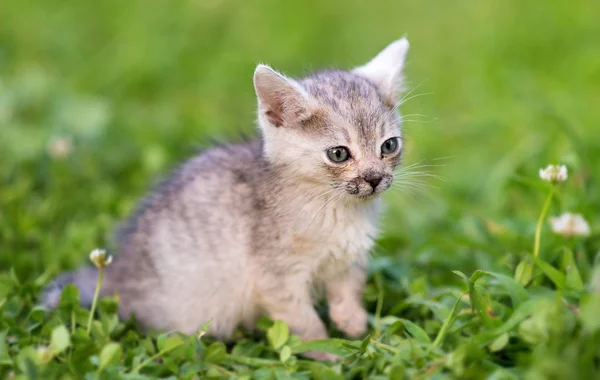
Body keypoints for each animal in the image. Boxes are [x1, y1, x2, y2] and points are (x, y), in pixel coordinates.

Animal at [45, 37, 412, 360]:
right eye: (338, 154)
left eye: (389, 146)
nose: (374, 179)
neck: (336, 212)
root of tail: (118, 274)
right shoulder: (277, 278)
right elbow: (304, 323)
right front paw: (330, 353)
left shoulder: (349, 260)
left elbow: (349, 290)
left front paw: (354, 324)